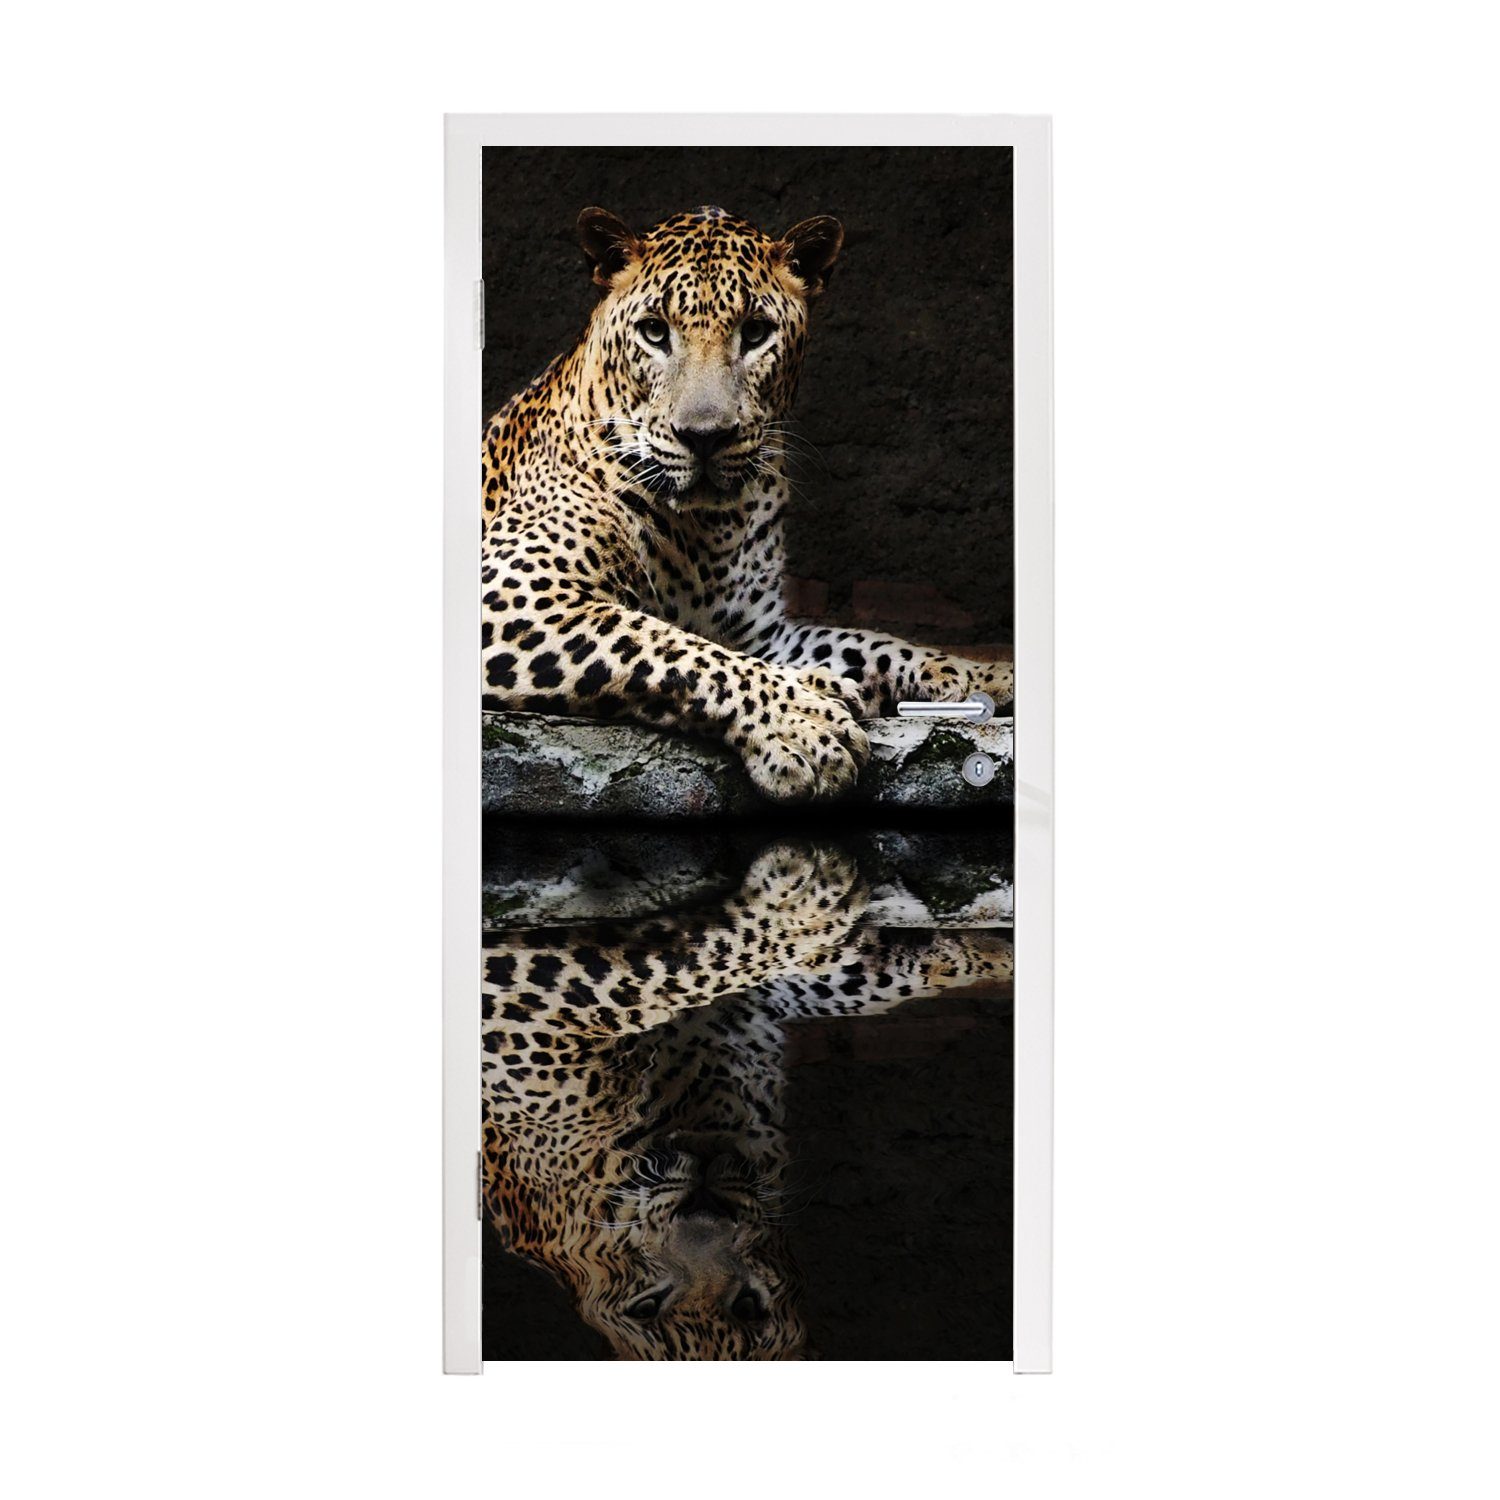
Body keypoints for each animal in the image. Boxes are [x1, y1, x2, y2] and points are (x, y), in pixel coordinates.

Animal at [481, 204, 1014, 803]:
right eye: (654, 331)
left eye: (755, 332)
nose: (705, 436)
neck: (711, 526)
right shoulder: (513, 593)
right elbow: (673, 647)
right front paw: (802, 724)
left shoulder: (759, 632)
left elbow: (872, 642)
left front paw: (982, 673)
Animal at [482, 839, 1013, 1360]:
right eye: (645, 1307)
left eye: (748, 1308)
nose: (707, 1214)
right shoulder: (520, 997)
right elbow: (671, 970)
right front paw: (802, 897)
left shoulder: (762, 1003)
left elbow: (869, 976)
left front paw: (991, 952)